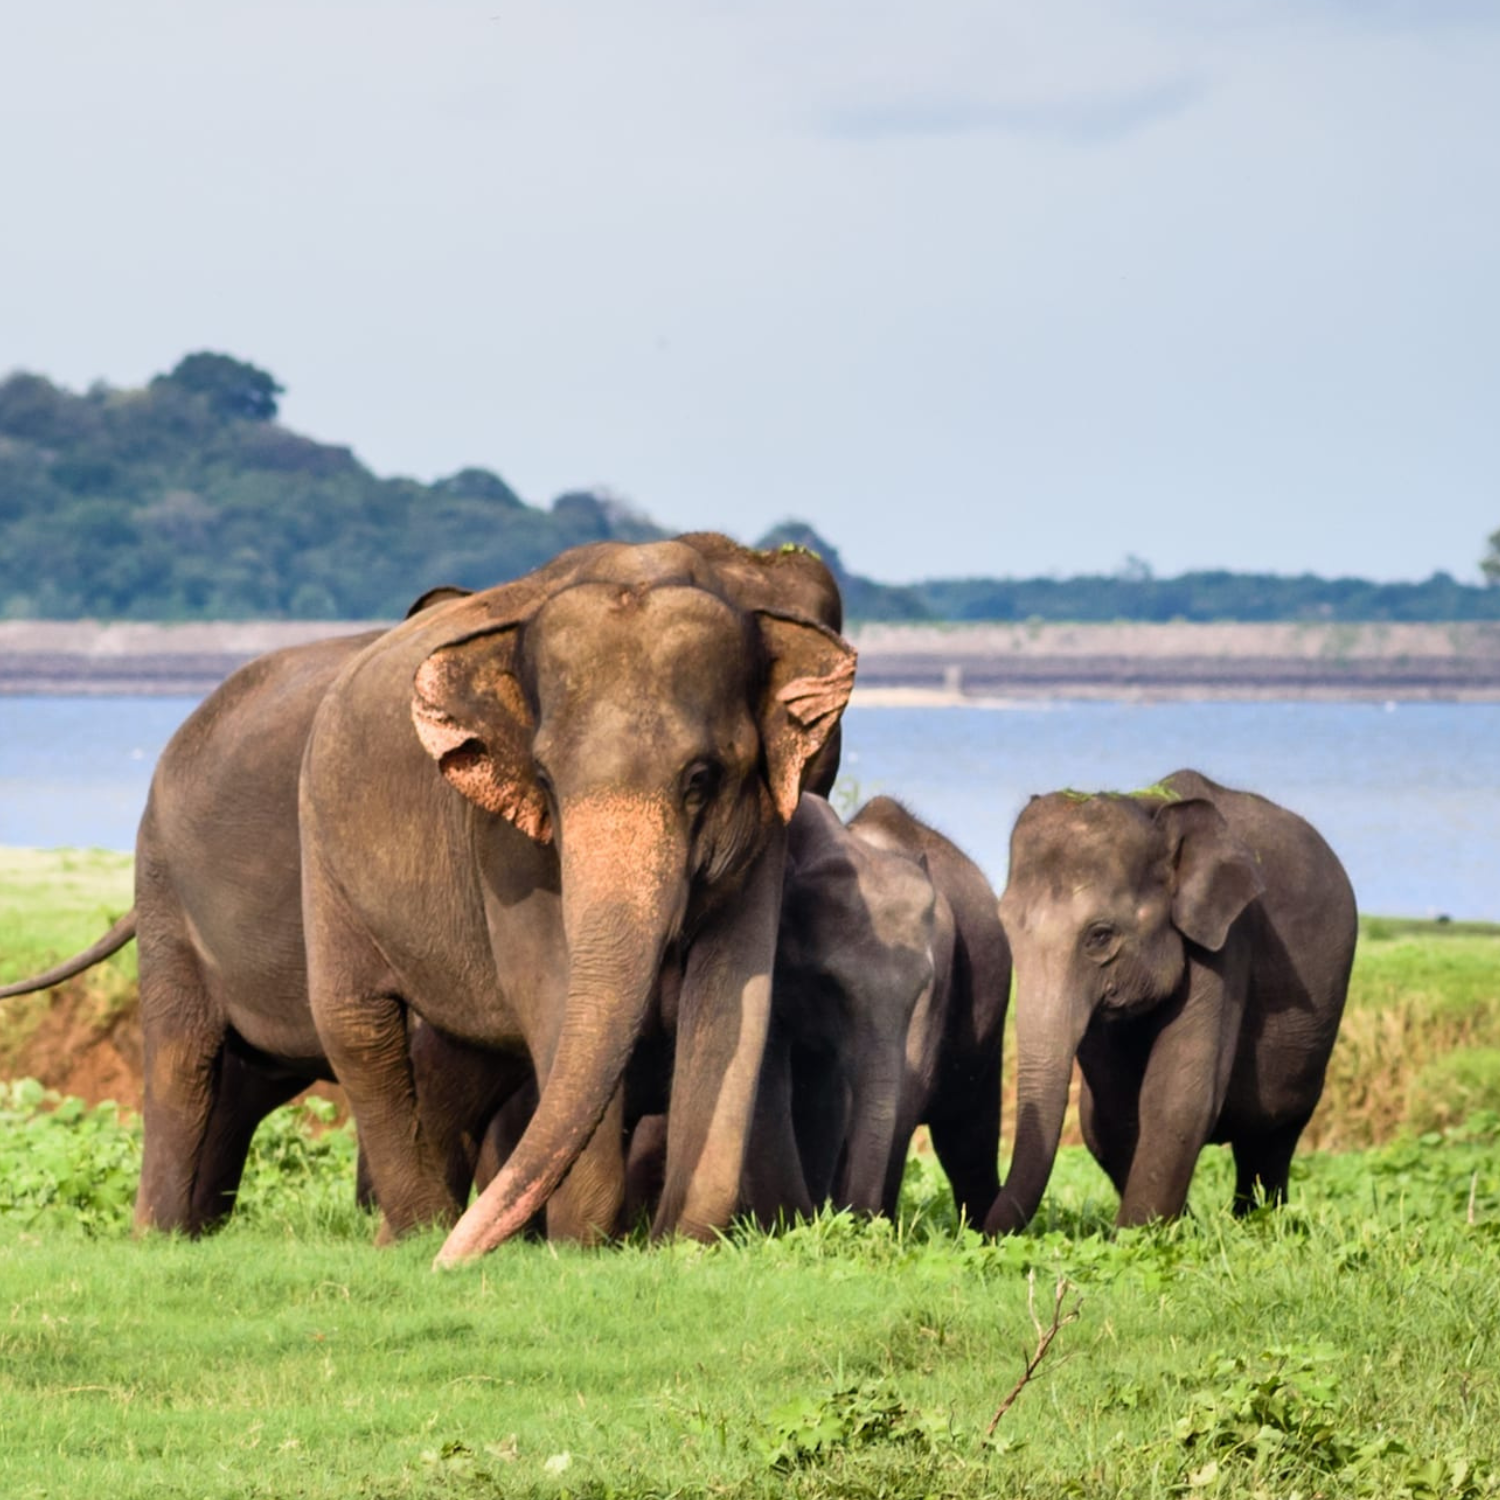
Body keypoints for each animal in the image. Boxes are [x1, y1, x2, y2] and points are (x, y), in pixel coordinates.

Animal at [297, 535, 854, 1262]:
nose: (454, 1267)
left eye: (700, 778)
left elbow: (734, 993)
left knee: (457, 1056)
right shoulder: (504, 842)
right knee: (356, 1024)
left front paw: (678, 1246)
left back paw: (417, 1237)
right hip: (321, 850)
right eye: (544, 777)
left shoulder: (764, 828)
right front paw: (584, 1250)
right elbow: (554, 992)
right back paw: (421, 1236)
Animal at [984, 768, 1356, 1235]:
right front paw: (1167, 1231)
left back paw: (1256, 1225)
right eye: (1005, 927)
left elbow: (1176, 1095)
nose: (977, 1232)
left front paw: (1134, 1238)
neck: (1152, 809)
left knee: (1272, 1136)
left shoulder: (1227, 938)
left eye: (1100, 935)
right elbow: (1110, 1113)